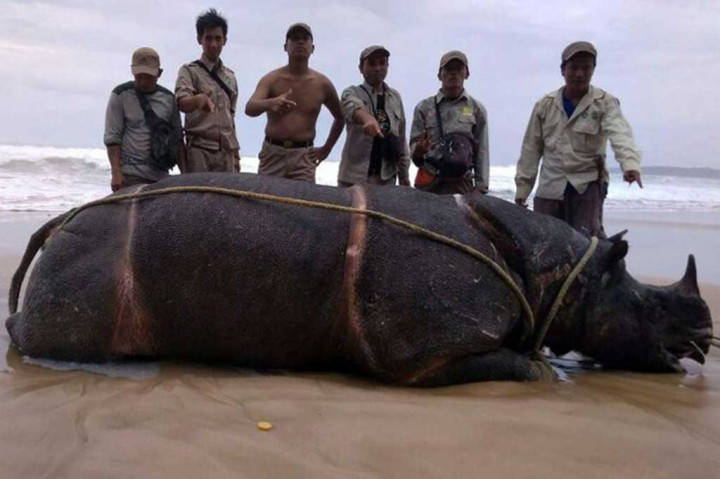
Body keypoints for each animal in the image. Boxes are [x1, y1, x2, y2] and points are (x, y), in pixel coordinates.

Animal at [5, 173, 714, 386]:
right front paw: (538, 365)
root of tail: (63, 220)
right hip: (89, 259)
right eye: (648, 307)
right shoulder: (427, 354)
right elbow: (521, 365)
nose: (704, 335)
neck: (559, 273)